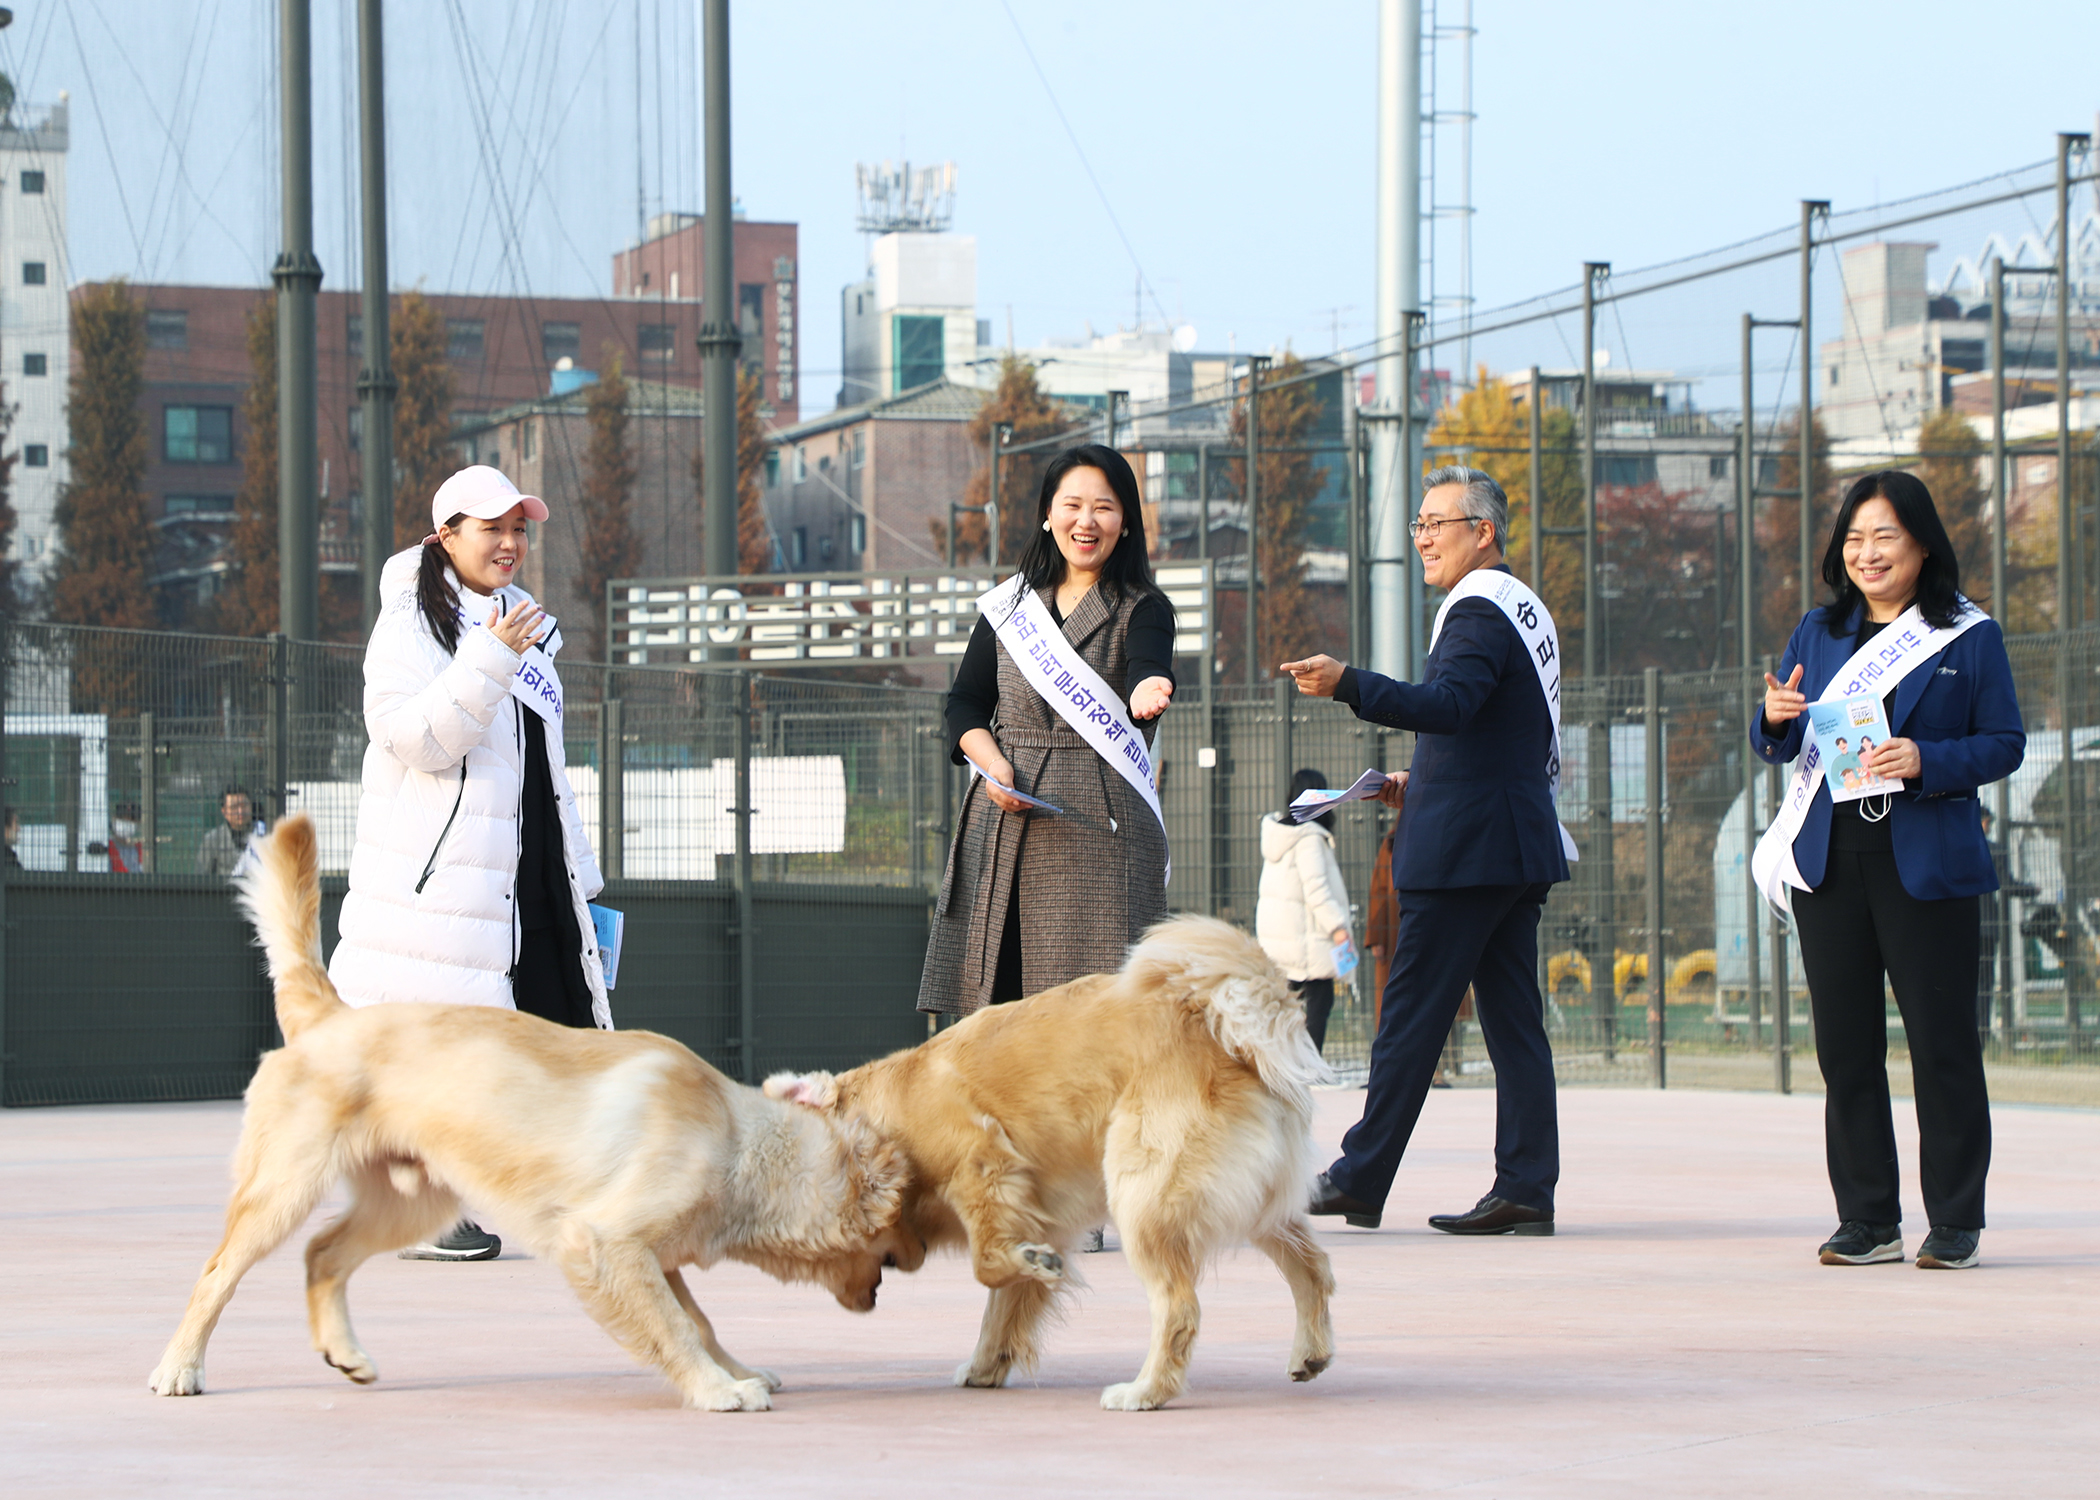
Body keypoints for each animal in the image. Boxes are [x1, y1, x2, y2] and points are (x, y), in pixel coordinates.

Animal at [148, 810, 902, 1411]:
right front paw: (717, 1389)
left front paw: (737, 1370)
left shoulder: (652, 1257)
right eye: (889, 1254)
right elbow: (675, 1327)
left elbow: (699, 1320)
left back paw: (347, 1354)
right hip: (284, 1189)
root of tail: (330, 1014)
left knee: (323, 1254)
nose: (875, 1300)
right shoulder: (605, 1243)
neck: (735, 1134)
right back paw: (179, 1368)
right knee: (218, 1274)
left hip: (415, 1203)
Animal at [768, 907, 1327, 1411]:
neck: (881, 1121)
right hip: (1257, 1205)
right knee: (1313, 1266)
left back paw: (1145, 1391)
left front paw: (1029, 1267)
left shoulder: (981, 1162)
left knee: (1179, 1308)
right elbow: (1002, 1302)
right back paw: (1311, 1352)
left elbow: (988, 1266)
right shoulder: (1035, 1214)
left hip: (1143, 1197)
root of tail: (1224, 1027)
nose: (861, 1302)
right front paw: (986, 1363)